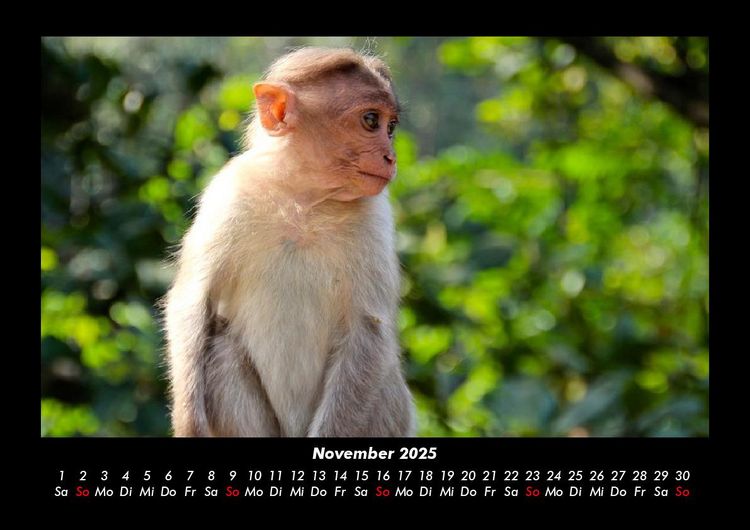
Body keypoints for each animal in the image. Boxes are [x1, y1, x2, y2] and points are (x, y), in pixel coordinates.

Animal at [163, 47, 416, 437]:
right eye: (372, 121)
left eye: (391, 128)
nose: (391, 157)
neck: (304, 199)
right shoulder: (229, 193)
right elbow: (192, 298)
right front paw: (189, 422)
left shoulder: (375, 216)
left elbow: (367, 328)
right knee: (220, 348)